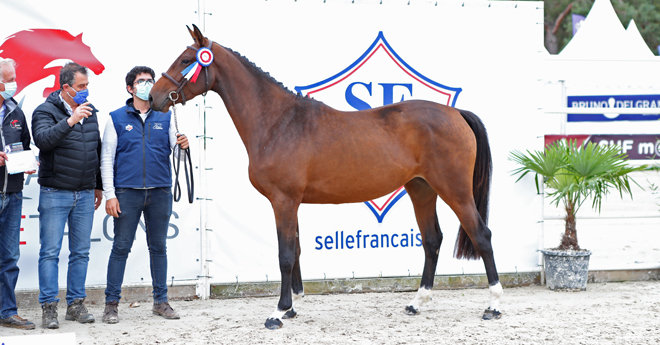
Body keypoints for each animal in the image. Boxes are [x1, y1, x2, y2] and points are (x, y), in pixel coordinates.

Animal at [148, 24, 500, 328]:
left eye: (185, 60)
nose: (153, 97)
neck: (277, 122)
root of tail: (455, 113)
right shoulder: (291, 203)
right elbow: (296, 250)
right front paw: (291, 307)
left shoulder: (284, 200)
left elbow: (286, 254)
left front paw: (277, 313)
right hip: (421, 189)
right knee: (432, 240)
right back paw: (417, 302)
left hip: (455, 190)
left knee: (481, 235)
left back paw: (493, 306)